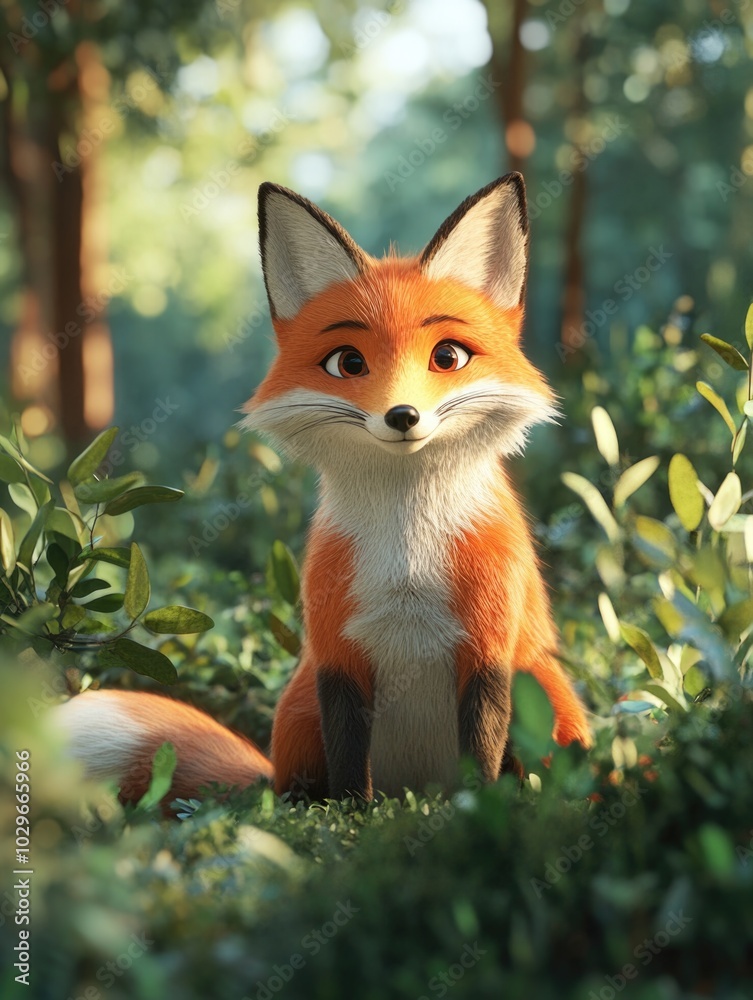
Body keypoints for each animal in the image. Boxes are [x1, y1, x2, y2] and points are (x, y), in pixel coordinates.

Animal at [54, 173, 591, 806]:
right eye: (347, 363)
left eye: (448, 356)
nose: (403, 415)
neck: (406, 557)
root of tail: (416, 784)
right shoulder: (336, 652)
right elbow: (348, 759)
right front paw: (353, 816)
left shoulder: (488, 649)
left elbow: (482, 748)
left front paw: (479, 807)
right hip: (298, 710)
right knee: (295, 786)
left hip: (546, 695)